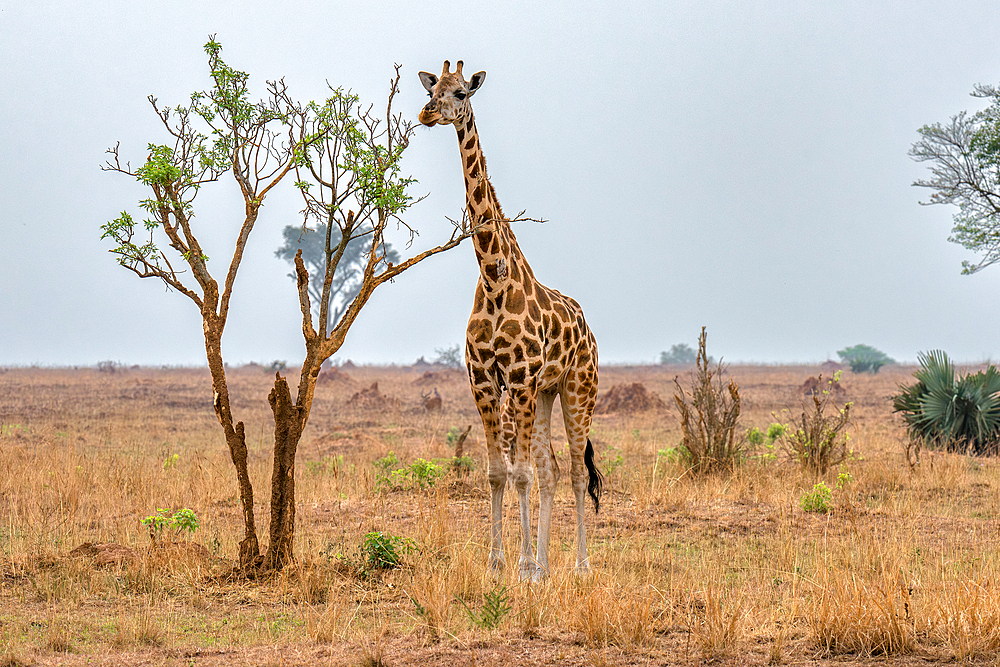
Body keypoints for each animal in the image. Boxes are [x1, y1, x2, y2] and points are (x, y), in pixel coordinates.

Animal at [416, 60, 600, 580]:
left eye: (460, 91)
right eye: (432, 89)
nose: (426, 113)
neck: (493, 278)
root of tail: (589, 329)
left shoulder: (517, 377)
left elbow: (519, 474)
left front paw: (520, 564)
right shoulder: (484, 378)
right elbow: (499, 472)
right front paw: (499, 562)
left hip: (577, 390)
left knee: (574, 471)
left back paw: (578, 565)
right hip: (546, 393)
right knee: (550, 469)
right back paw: (546, 564)